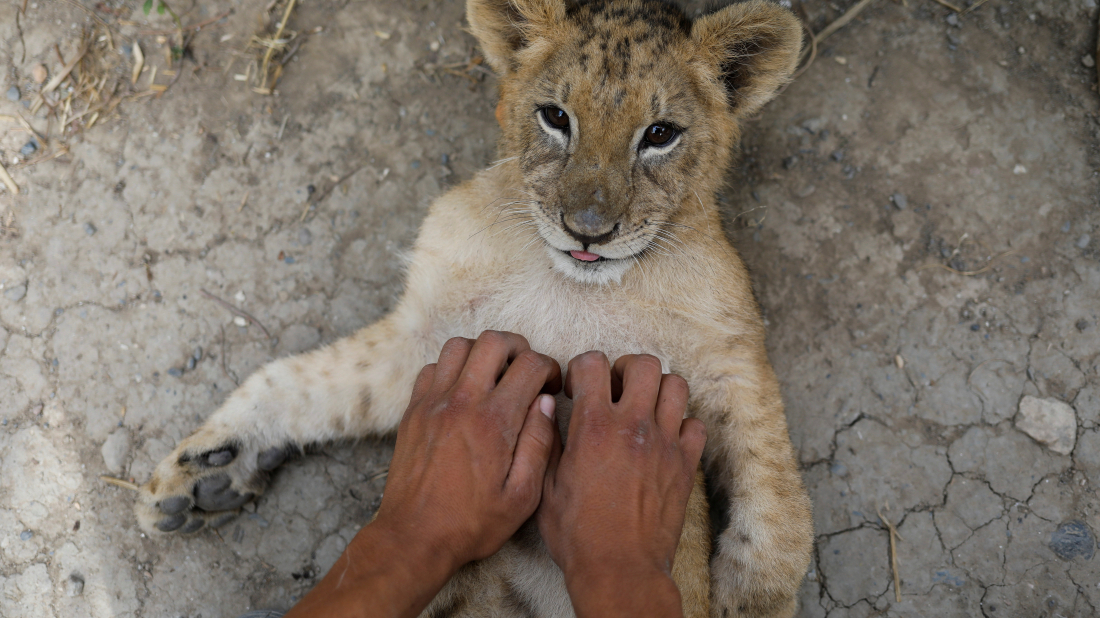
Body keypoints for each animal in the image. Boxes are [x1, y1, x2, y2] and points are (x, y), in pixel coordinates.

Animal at [134, 0, 812, 615]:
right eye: (556, 117)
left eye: (660, 134)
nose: (588, 230)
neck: (575, 284)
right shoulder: (426, 342)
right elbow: (298, 380)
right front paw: (205, 472)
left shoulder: (733, 360)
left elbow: (778, 496)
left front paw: (752, 600)